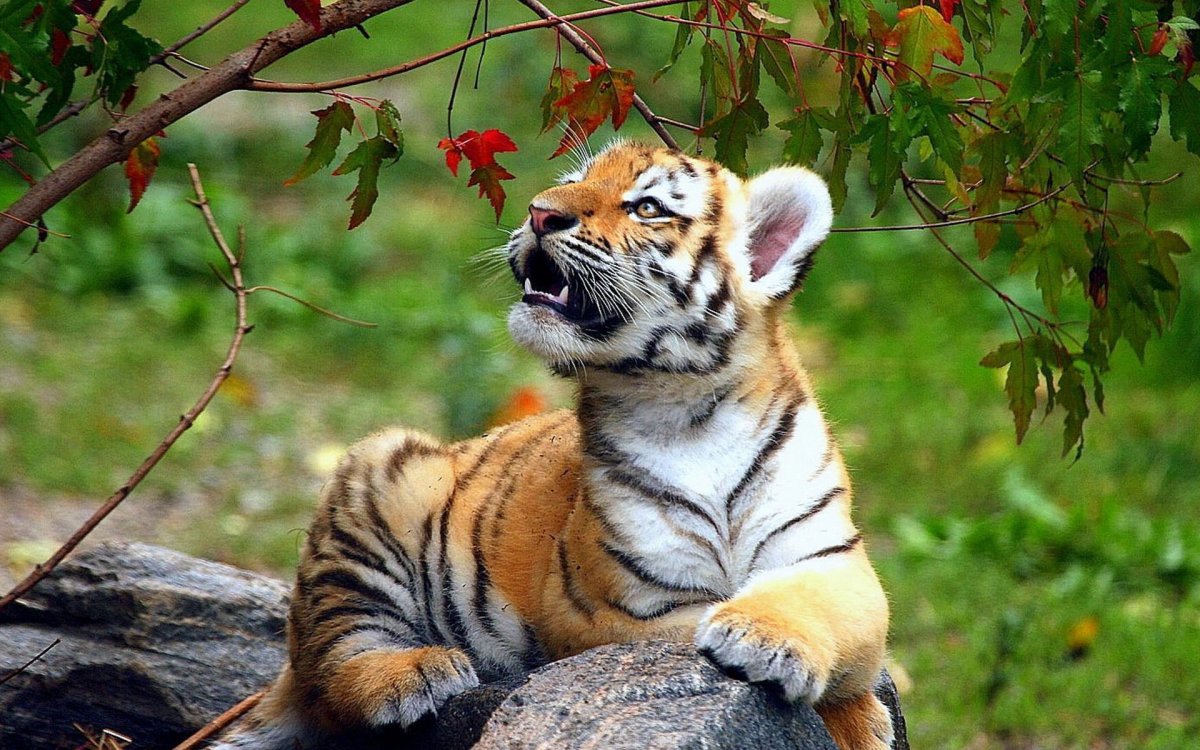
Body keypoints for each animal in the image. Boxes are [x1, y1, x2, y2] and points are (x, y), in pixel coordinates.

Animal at [217, 141, 893, 750]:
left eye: (648, 207)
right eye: (573, 181)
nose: (540, 212)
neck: (690, 412)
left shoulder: (832, 557)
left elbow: (834, 620)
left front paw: (784, 654)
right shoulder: (612, 608)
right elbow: (687, 627)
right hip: (381, 476)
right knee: (331, 665)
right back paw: (412, 674)